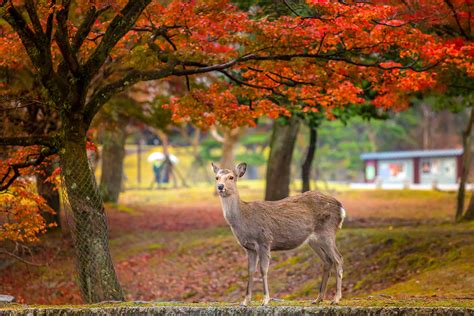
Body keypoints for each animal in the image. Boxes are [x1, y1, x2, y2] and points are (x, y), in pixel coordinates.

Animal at [213, 162, 346, 304]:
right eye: (217, 177)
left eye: (231, 177)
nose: (220, 187)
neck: (244, 219)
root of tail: (341, 208)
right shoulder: (249, 248)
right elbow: (250, 271)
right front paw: (245, 301)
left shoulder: (264, 241)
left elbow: (263, 270)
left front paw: (265, 299)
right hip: (314, 240)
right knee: (327, 261)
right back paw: (318, 298)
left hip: (327, 232)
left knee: (338, 259)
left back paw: (336, 298)